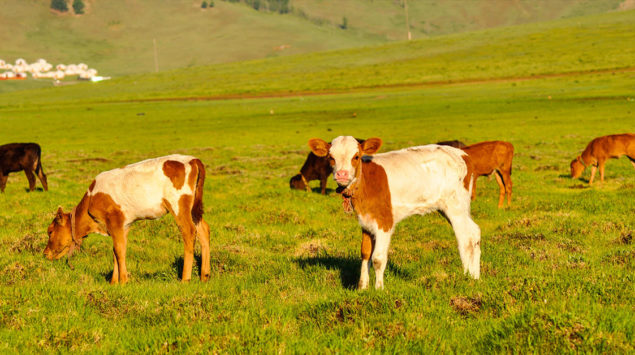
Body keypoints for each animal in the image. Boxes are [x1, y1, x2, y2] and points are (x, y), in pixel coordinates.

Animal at [42, 154, 211, 286]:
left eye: (50, 231)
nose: (44, 253)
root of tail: (192, 159)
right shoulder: (124, 225)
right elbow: (117, 250)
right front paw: (114, 282)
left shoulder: (115, 221)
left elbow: (118, 250)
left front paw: (123, 280)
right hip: (194, 209)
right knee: (203, 230)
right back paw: (204, 275)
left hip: (179, 205)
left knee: (189, 231)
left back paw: (185, 279)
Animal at [310, 136, 482, 290]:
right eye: (331, 157)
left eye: (356, 157)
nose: (342, 174)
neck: (365, 183)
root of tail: (462, 154)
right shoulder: (365, 221)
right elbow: (365, 254)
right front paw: (362, 288)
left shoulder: (384, 222)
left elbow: (378, 258)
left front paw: (379, 289)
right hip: (450, 207)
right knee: (474, 232)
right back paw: (475, 276)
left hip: (455, 206)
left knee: (466, 238)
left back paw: (467, 276)